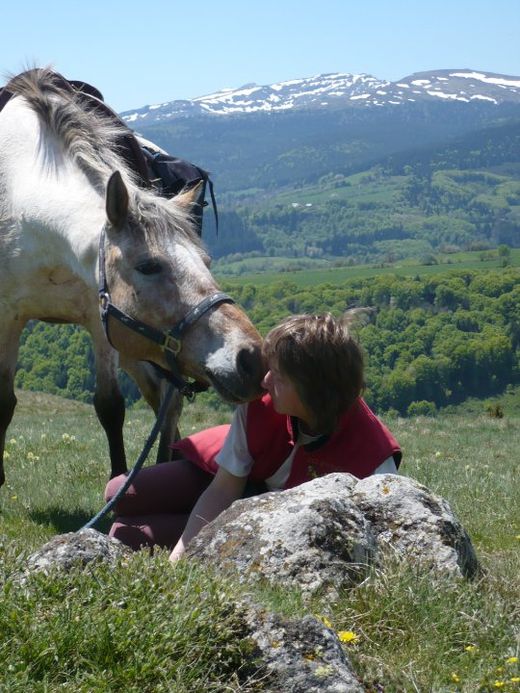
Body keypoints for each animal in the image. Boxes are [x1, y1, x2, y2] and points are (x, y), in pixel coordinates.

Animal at [0, 66, 264, 486]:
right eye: (148, 266)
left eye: (206, 261)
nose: (251, 358)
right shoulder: (8, 315)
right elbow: (5, 404)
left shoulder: (102, 318)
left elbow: (109, 406)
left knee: (167, 403)